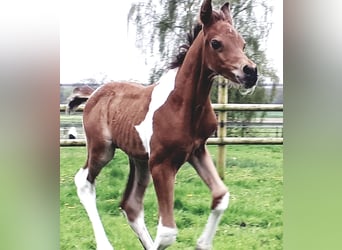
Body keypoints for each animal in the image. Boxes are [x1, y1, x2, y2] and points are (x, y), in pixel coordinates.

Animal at [75, 0, 256, 249]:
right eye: (216, 43)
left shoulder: (196, 151)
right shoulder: (162, 164)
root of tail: (94, 93)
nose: (251, 72)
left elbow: (221, 196)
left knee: (131, 205)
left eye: (243, 43)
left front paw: (203, 243)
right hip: (103, 149)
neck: (183, 103)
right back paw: (105, 244)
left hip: (140, 159)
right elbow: (168, 231)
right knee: (84, 183)